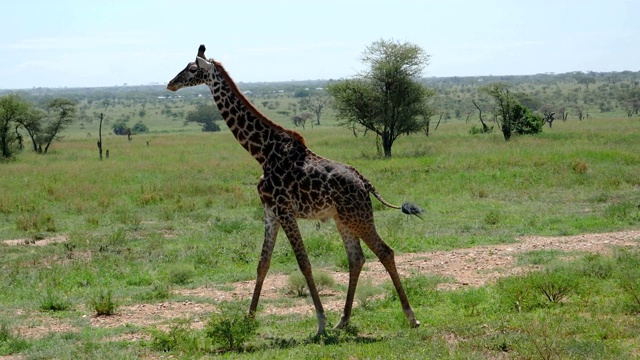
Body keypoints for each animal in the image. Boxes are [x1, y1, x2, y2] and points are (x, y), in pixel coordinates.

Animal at [168, 45, 422, 334]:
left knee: (385, 252)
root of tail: (365, 182)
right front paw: (249, 318)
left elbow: (304, 263)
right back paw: (344, 320)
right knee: (356, 258)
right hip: (343, 219)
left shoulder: (285, 209)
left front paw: (320, 321)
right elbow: (263, 263)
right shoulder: (270, 211)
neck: (262, 152)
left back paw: (410, 316)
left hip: (358, 216)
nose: (170, 84)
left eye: (192, 69)